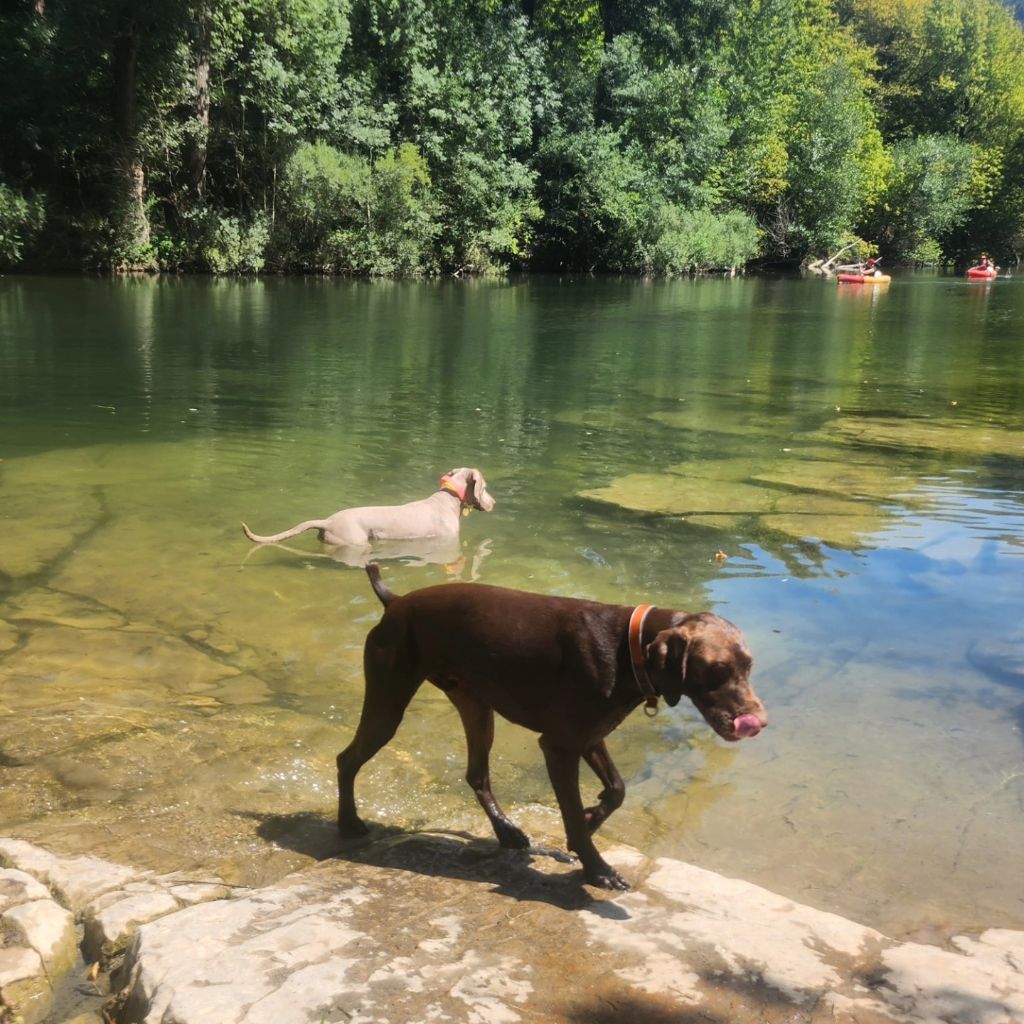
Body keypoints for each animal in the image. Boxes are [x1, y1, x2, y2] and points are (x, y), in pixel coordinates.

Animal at [337, 565, 770, 892]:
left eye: (748, 667)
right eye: (717, 670)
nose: (759, 722)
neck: (626, 649)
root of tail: (395, 601)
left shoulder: (589, 737)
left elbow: (617, 790)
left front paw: (595, 817)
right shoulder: (560, 746)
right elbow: (574, 816)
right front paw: (598, 870)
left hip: (477, 708)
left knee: (477, 774)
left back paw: (507, 832)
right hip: (388, 704)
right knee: (346, 759)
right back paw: (348, 824)